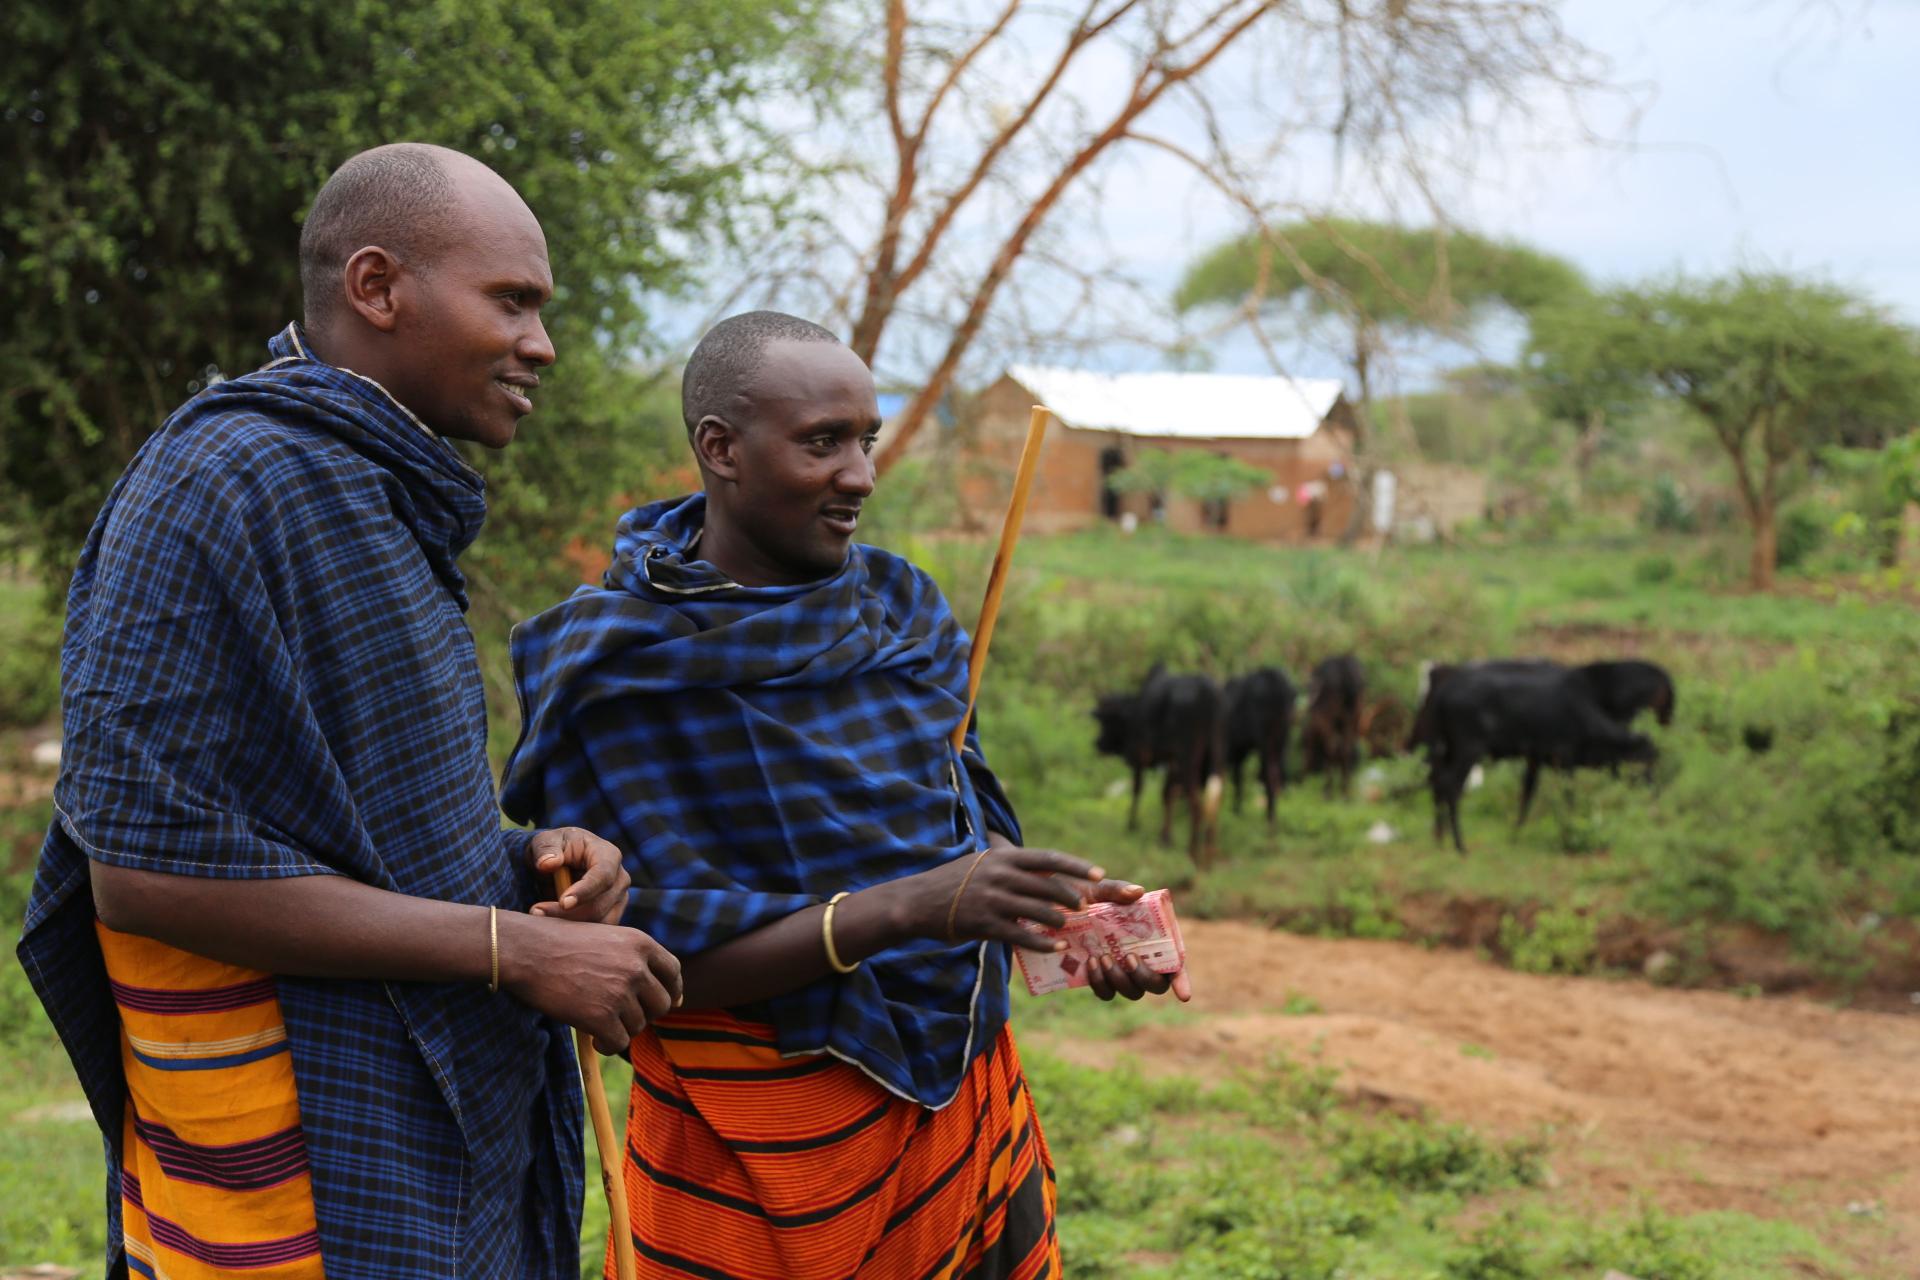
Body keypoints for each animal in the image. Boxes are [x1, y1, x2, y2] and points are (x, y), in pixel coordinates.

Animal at [1090, 667, 1221, 867]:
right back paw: (1209, 854)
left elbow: (1138, 789)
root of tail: (1208, 692)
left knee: (1196, 804)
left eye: (1106, 721)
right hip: (1217, 751)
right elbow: (1167, 795)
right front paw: (1165, 839)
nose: (1098, 743)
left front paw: (1132, 826)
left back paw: (1192, 853)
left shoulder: (1140, 755)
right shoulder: (1171, 760)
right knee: (1215, 797)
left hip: (1187, 756)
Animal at [1221, 671, 1297, 832]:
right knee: (1280, 771)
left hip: (1266, 741)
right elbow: (1238, 780)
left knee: (1269, 774)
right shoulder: (1238, 754)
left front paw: (1235, 811)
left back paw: (1269, 820)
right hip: (1282, 738)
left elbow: (1236, 780)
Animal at [1305, 656, 1367, 794]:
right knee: (1345, 749)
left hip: (1330, 721)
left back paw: (1328, 788)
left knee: (1330, 749)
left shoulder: (1320, 723)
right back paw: (1345, 789)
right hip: (1353, 717)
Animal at [1420, 667, 1658, 855]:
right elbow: (1568, 797)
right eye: (1646, 762)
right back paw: (1459, 845)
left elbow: (1527, 796)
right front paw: (1570, 826)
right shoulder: (1565, 759)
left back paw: (1439, 839)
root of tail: (1443, 692)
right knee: (1451, 786)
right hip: (1469, 749)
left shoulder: (1534, 760)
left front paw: (1515, 835)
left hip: (1448, 749)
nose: (1653, 791)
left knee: (1437, 782)